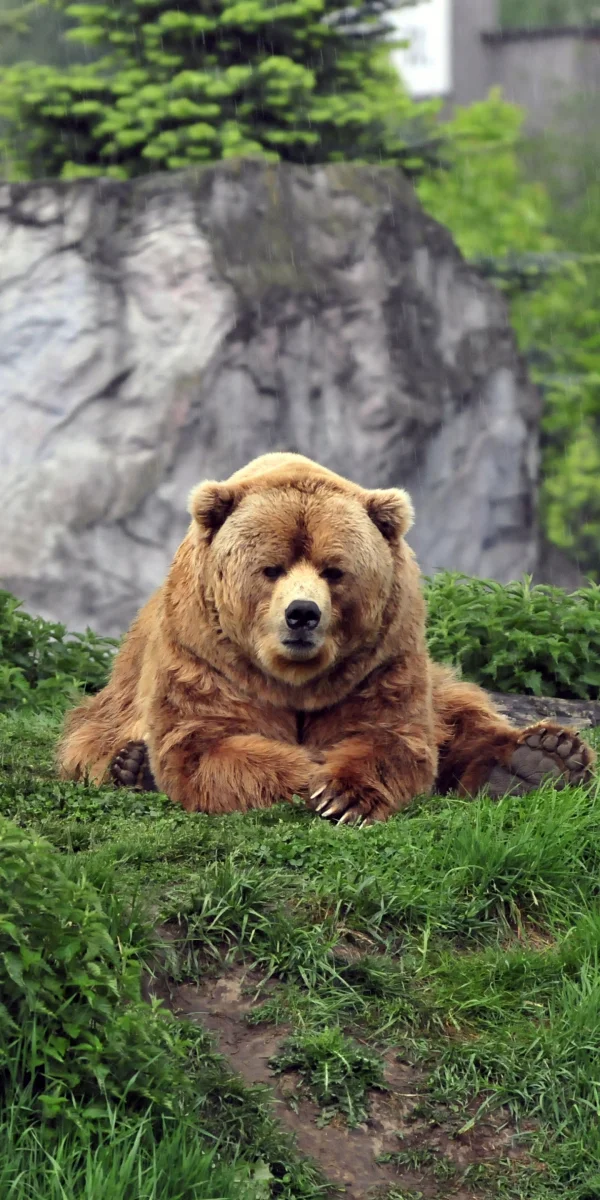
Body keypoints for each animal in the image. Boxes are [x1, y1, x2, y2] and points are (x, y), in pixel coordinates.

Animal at [57, 452, 596, 823]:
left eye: (334, 570)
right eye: (271, 568)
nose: (302, 614)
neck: (294, 678)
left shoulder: (380, 659)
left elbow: (393, 736)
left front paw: (343, 794)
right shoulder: (204, 655)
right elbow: (208, 743)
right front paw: (309, 775)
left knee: (461, 713)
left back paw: (542, 758)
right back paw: (131, 766)